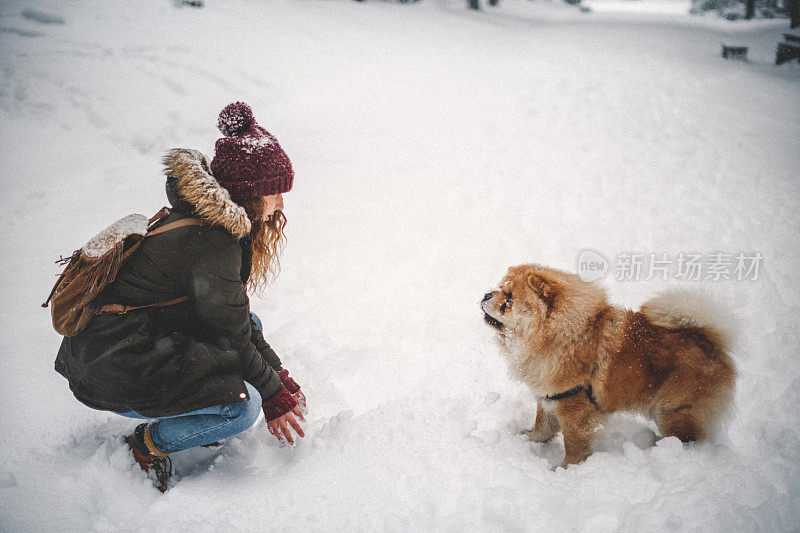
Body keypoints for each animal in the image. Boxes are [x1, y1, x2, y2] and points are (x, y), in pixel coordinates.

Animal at [482, 264, 736, 466]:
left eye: (509, 299)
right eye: (499, 288)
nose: (486, 294)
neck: (560, 336)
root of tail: (711, 344)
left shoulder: (574, 408)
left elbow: (574, 445)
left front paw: (565, 469)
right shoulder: (549, 396)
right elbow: (543, 425)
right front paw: (528, 438)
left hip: (672, 412)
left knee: (688, 438)